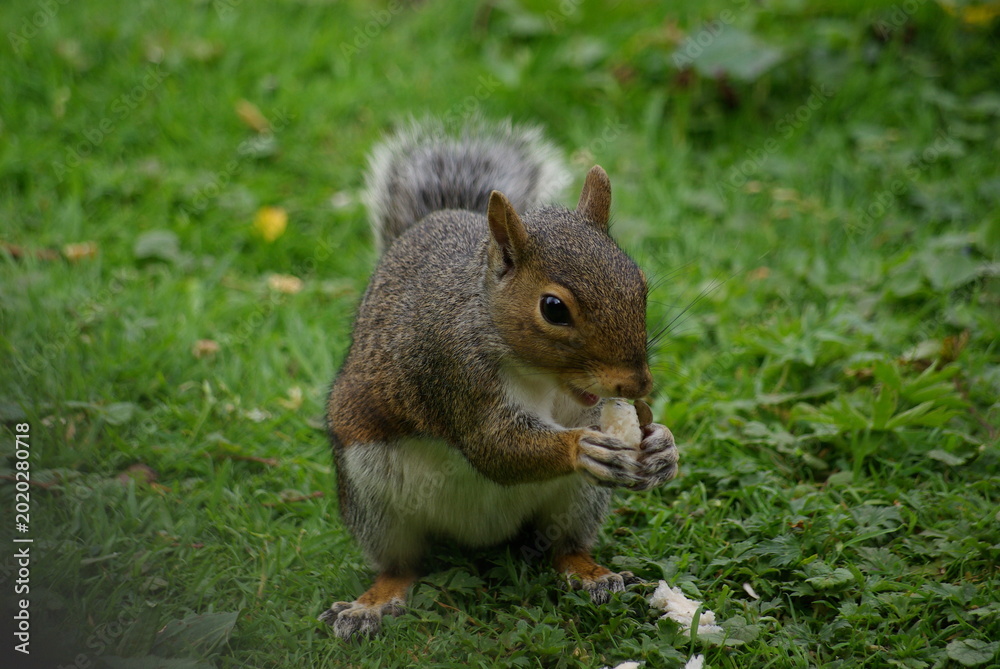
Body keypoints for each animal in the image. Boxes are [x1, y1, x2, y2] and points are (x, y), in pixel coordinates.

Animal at [320, 119, 679, 640]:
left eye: (641, 284)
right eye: (553, 308)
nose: (637, 386)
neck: (541, 376)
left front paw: (662, 447)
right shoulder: (454, 371)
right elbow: (493, 447)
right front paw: (581, 447)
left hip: (578, 499)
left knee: (564, 547)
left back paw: (592, 574)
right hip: (372, 495)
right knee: (401, 565)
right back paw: (373, 603)